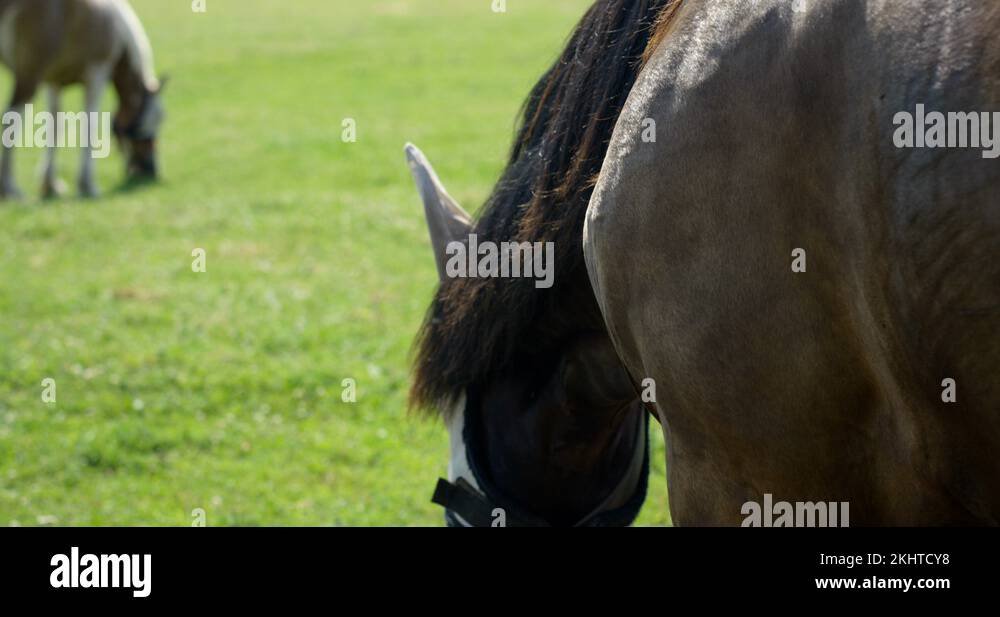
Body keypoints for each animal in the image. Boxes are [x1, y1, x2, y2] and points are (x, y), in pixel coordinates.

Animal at [0, 0, 165, 200]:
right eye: (144, 125)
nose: (151, 171)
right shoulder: (98, 72)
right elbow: (89, 124)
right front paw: (87, 185)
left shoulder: (54, 82)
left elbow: (55, 126)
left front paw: (51, 185)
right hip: (30, 72)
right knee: (11, 117)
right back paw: (10, 189)